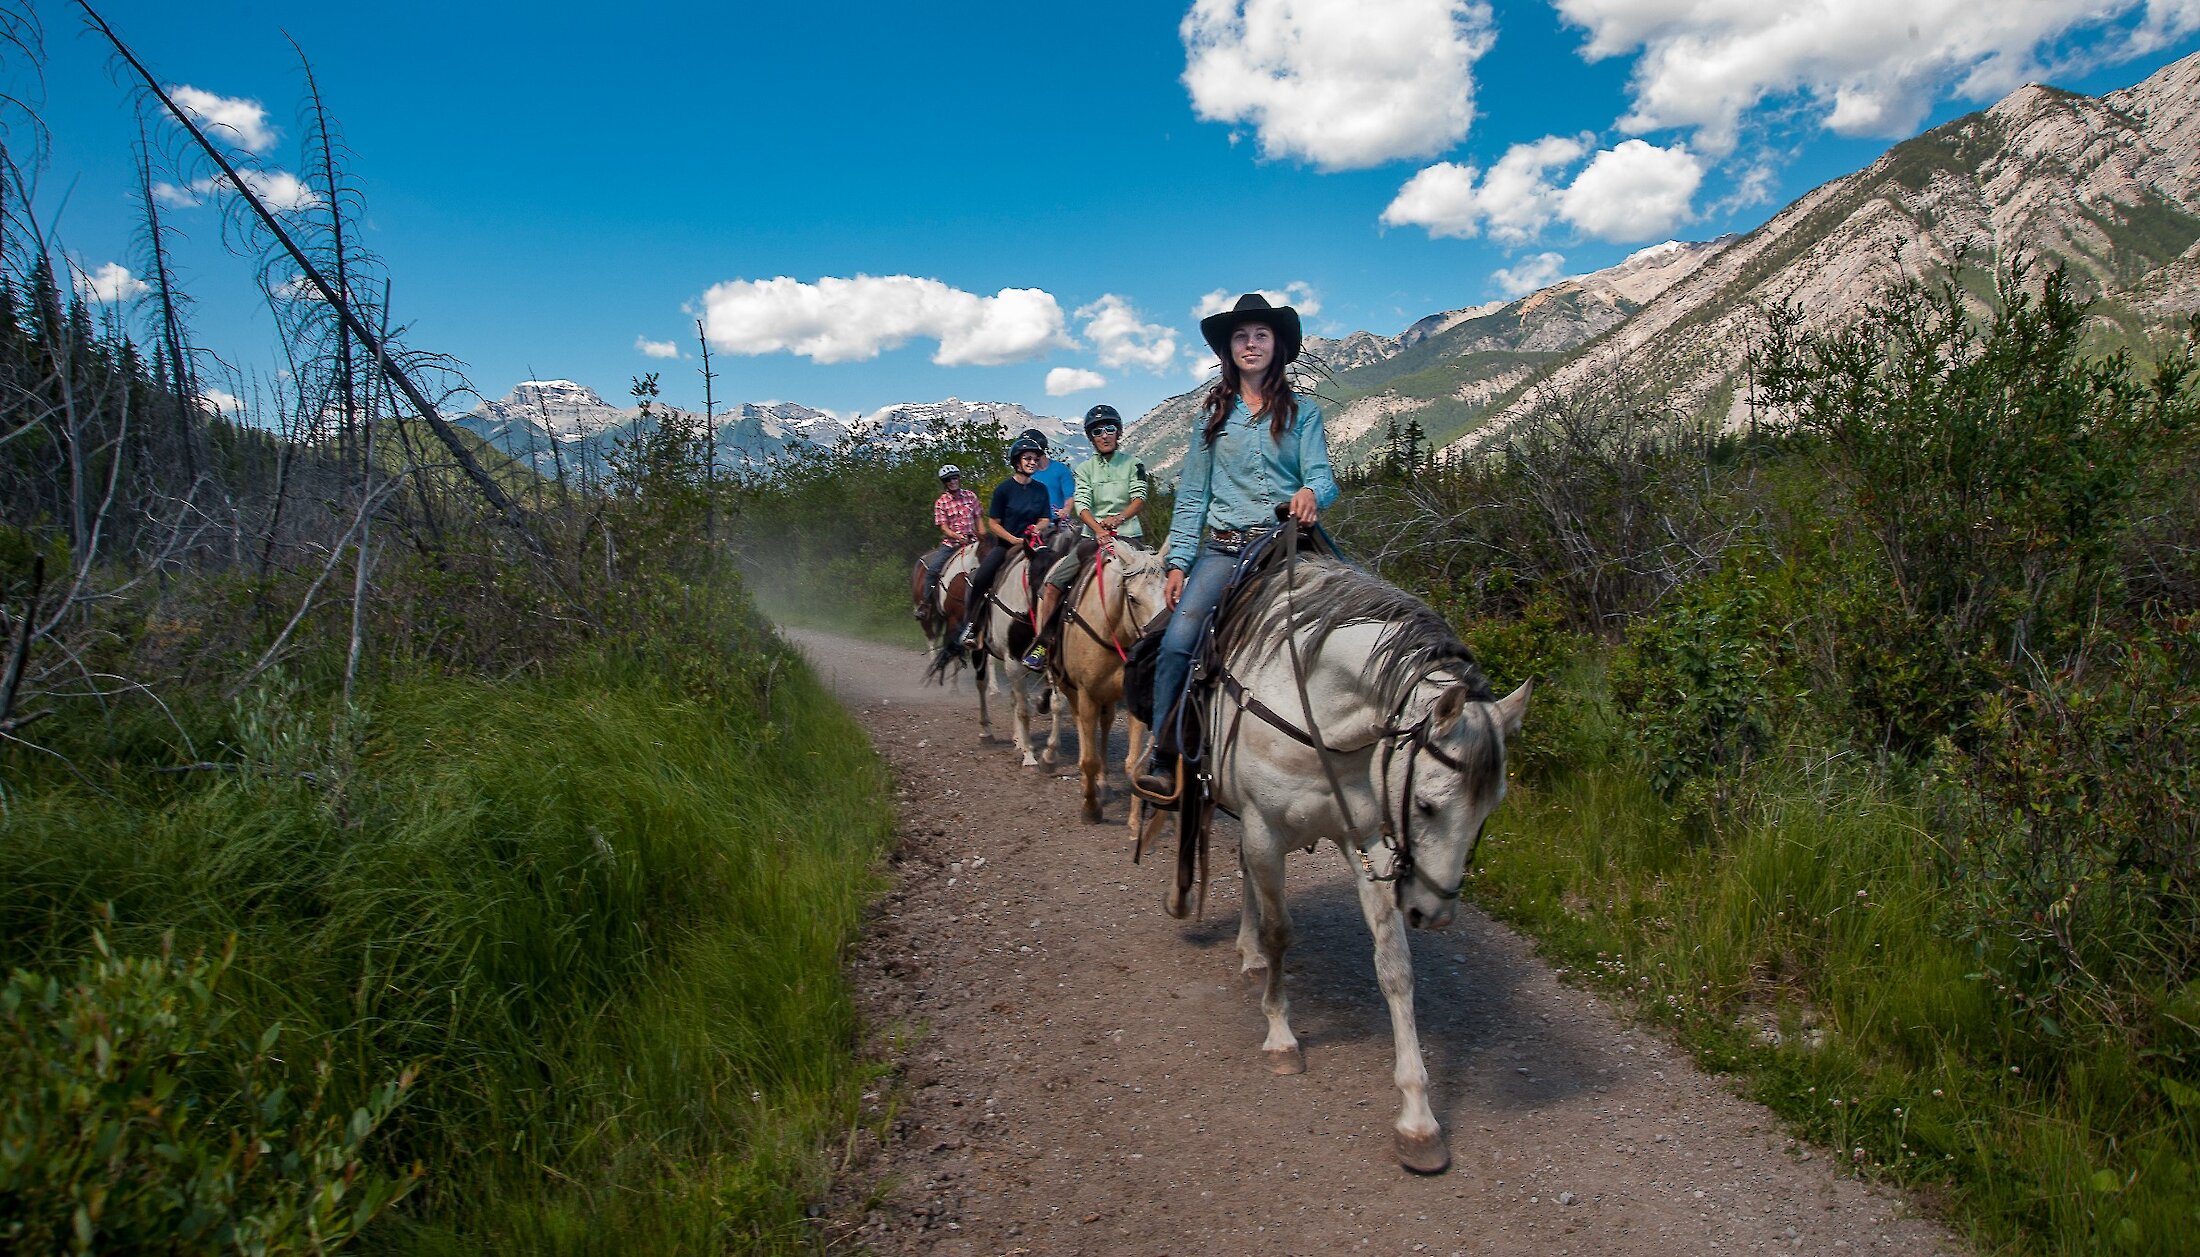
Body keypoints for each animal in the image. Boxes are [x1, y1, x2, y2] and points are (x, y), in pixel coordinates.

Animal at [1179, 545, 1522, 1179]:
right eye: (1426, 804)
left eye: (1491, 808)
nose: (1435, 914)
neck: (1319, 711)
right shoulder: (1264, 828)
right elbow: (1282, 932)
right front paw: (1281, 1035)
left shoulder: (1366, 839)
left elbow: (1395, 966)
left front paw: (1418, 1119)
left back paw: (1247, 952)